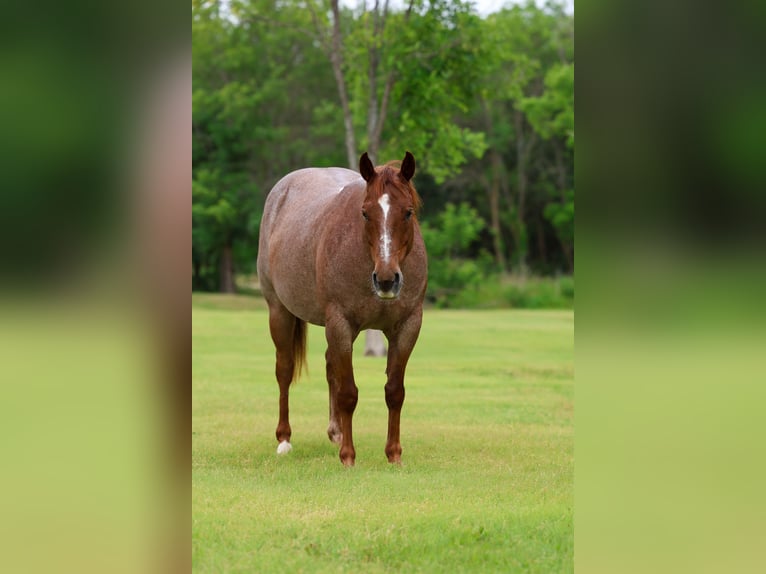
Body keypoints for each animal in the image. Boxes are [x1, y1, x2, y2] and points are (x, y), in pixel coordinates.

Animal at [256, 151, 427, 466]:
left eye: (408, 212)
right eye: (365, 213)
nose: (387, 280)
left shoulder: (408, 327)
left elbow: (394, 391)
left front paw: (394, 454)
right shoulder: (340, 322)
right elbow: (348, 392)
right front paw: (348, 456)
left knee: (329, 366)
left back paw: (335, 431)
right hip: (279, 311)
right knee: (284, 370)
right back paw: (284, 439)